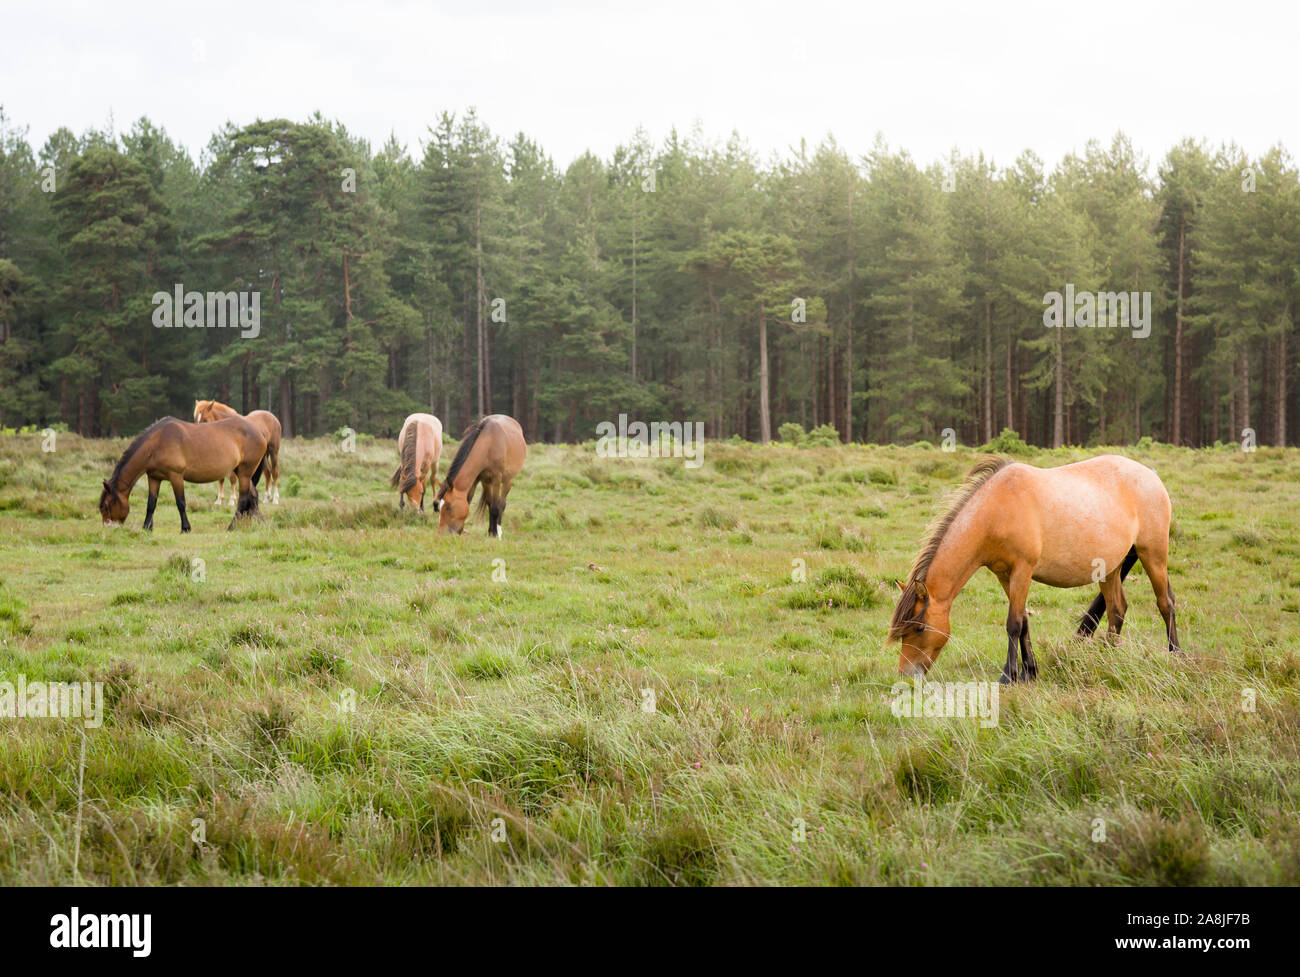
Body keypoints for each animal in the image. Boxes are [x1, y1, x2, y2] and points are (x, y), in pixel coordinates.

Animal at [99, 413, 269, 535]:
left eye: (106, 506)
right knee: (253, 495)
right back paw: (258, 522)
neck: (157, 443)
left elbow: (180, 503)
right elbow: (151, 504)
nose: (108, 529)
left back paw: (231, 527)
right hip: (241, 471)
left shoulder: (176, 476)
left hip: (245, 472)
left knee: (243, 498)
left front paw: (185, 528)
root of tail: (260, 432)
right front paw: (147, 527)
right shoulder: (154, 478)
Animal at [889, 457, 1185, 680]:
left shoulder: (1023, 570)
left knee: (1165, 603)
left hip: (1153, 554)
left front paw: (1008, 676)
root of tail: (1150, 475)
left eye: (919, 628)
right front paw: (1029, 672)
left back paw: (1176, 655)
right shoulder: (1004, 575)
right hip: (1110, 568)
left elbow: (1013, 623)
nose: (906, 674)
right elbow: (1024, 621)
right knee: (1117, 609)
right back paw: (1107, 658)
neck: (997, 510)